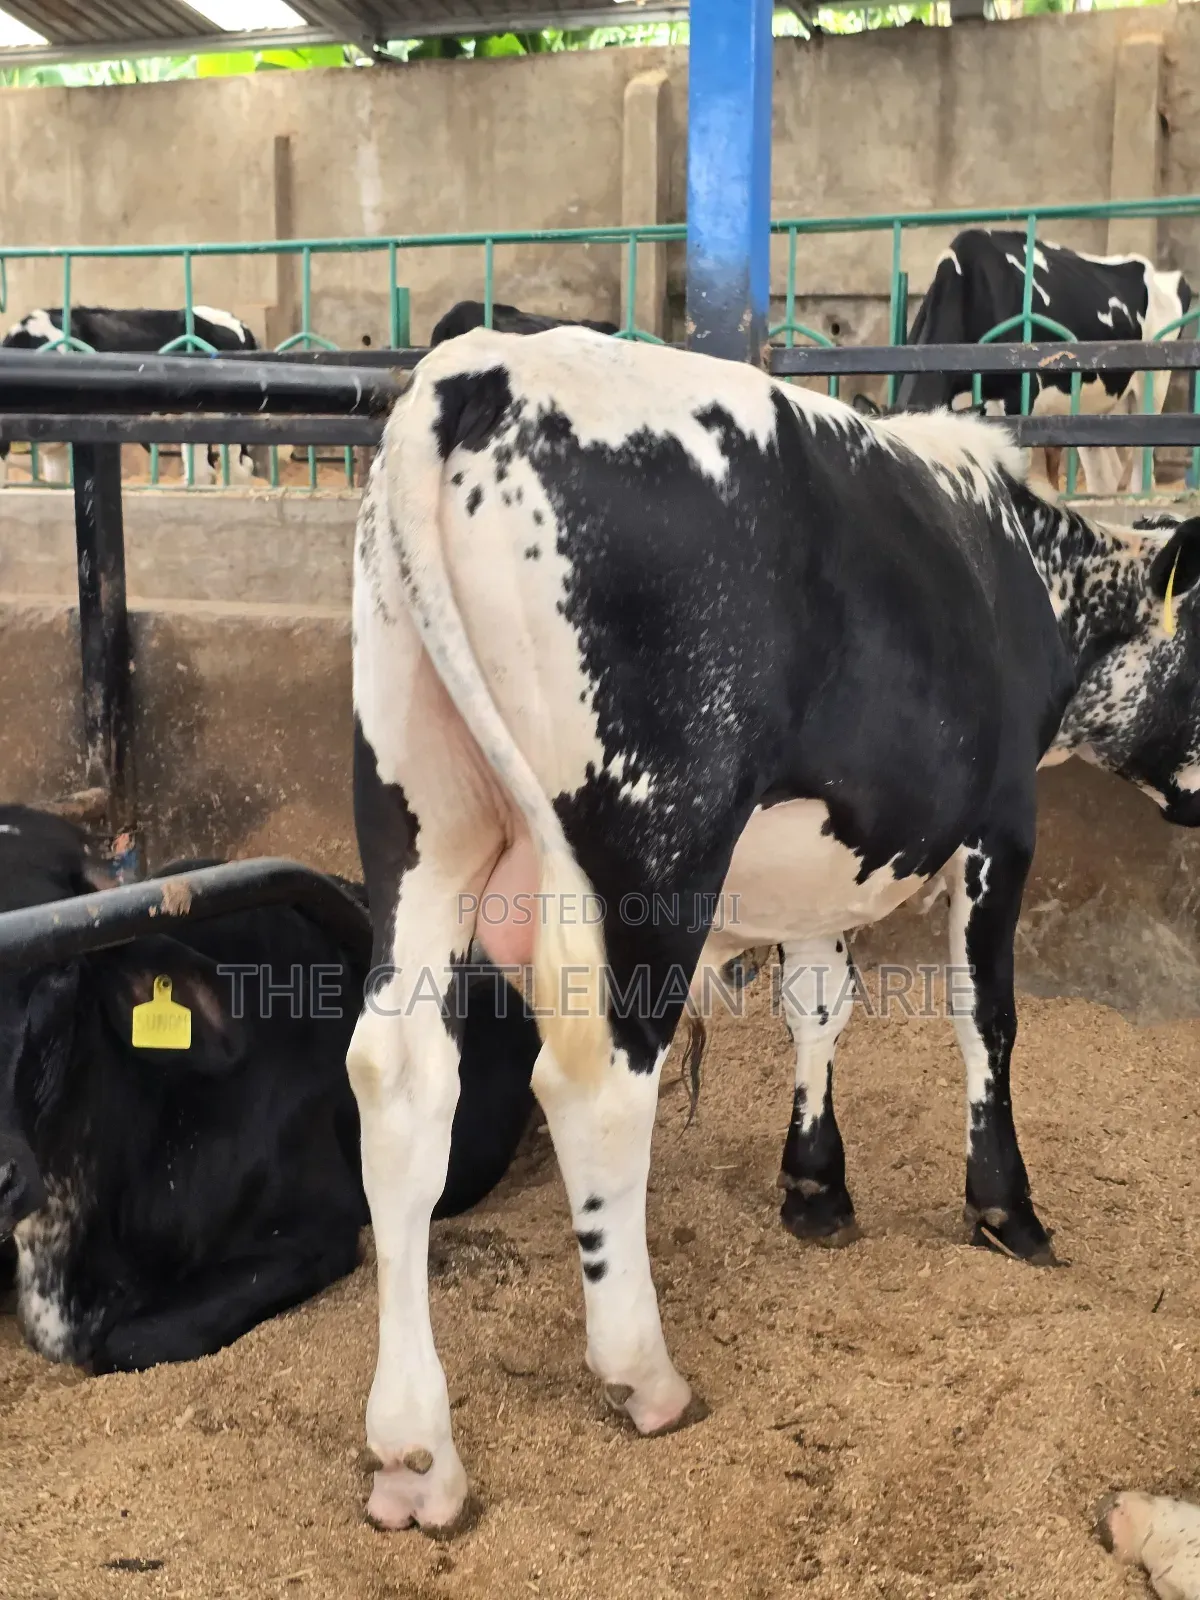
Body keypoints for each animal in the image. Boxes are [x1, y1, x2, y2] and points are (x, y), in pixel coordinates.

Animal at [345, 325, 1200, 1530]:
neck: (1031, 572)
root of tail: (481, 368)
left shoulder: (824, 862)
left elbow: (818, 1007)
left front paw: (816, 1184)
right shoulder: (1003, 827)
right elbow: (985, 1018)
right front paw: (1008, 1211)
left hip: (421, 809)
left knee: (401, 1080)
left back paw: (414, 1453)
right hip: (653, 837)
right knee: (598, 1085)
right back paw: (643, 1375)